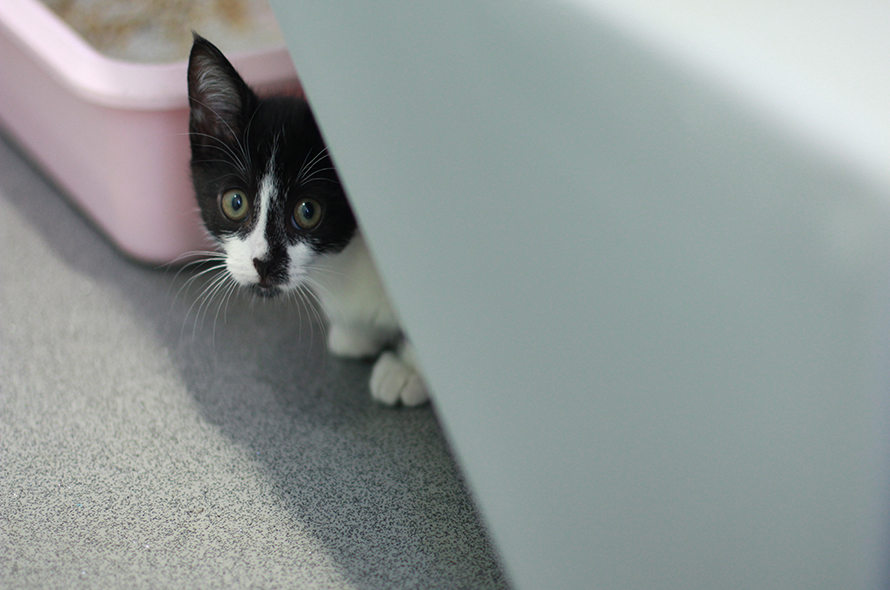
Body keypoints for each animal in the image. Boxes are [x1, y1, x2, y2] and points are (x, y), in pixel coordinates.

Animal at [186, 34, 426, 408]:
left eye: (307, 211)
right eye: (235, 203)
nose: (263, 263)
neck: (343, 262)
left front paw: (408, 369)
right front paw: (356, 334)